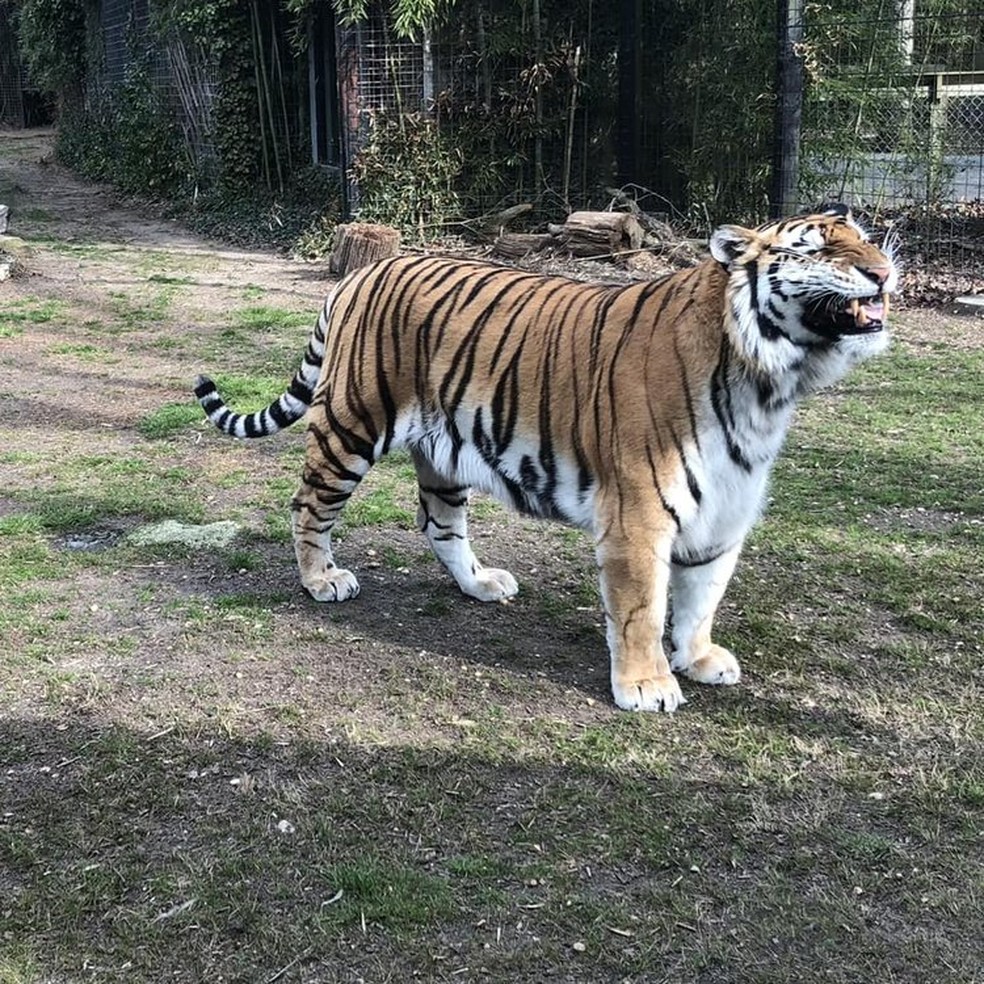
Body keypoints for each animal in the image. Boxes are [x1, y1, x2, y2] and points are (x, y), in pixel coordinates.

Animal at [196, 206, 896, 716]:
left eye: (866, 241)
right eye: (816, 249)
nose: (886, 273)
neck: (769, 383)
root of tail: (361, 273)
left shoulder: (725, 510)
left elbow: (702, 597)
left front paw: (697, 658)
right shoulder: (639, 516)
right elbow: (642, 610)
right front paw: (647, 686)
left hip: (445, 451)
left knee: (438, 523)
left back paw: (479, 584)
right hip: (351, 425)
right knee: (309, 504)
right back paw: (322, 579)